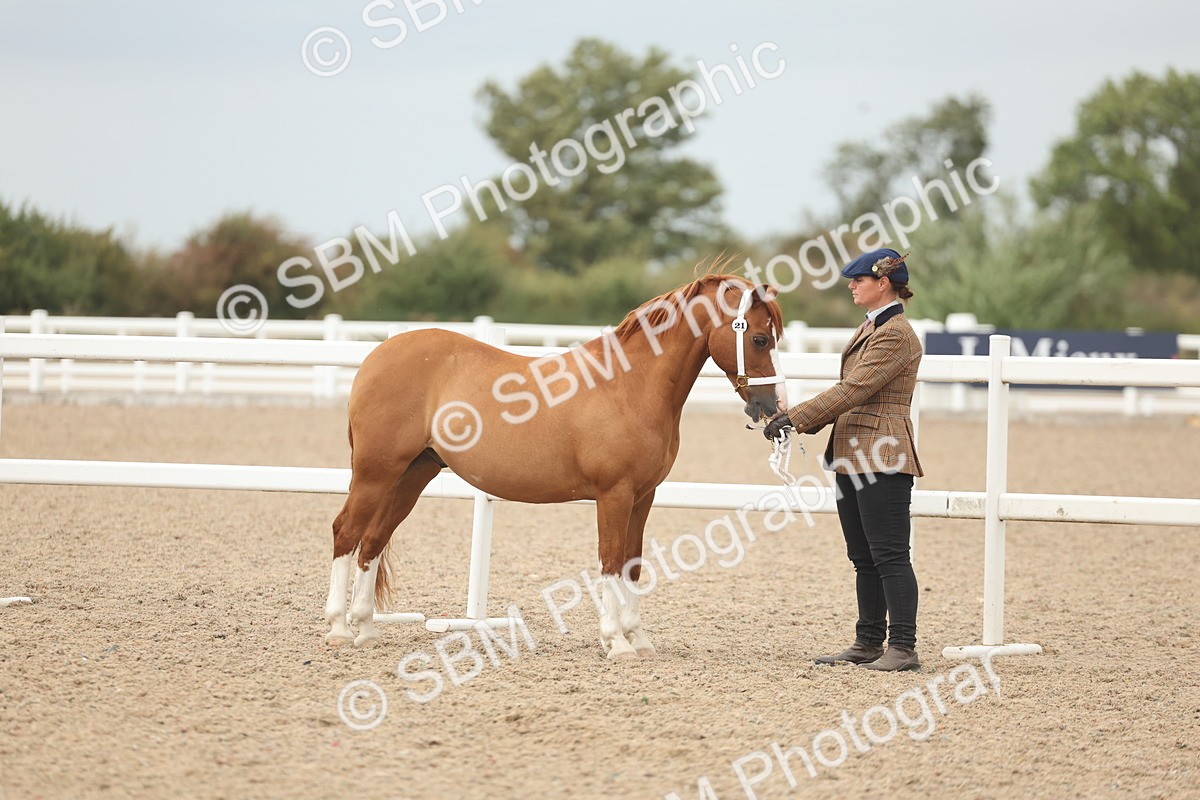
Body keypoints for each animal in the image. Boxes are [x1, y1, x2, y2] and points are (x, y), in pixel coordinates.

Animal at [323, 271, 787, 659]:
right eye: (759, 339)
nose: (774, 409)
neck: (630, 386)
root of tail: (377, 356)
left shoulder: (643, 496)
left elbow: (633, 563)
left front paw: (638, 638)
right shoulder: (614, 494)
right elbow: (610, 560)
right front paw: (616, 642)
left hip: (412, 474)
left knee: (374, 540)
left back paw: (366, 629)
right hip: (375, 472)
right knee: (347, 532)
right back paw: (339, 629)